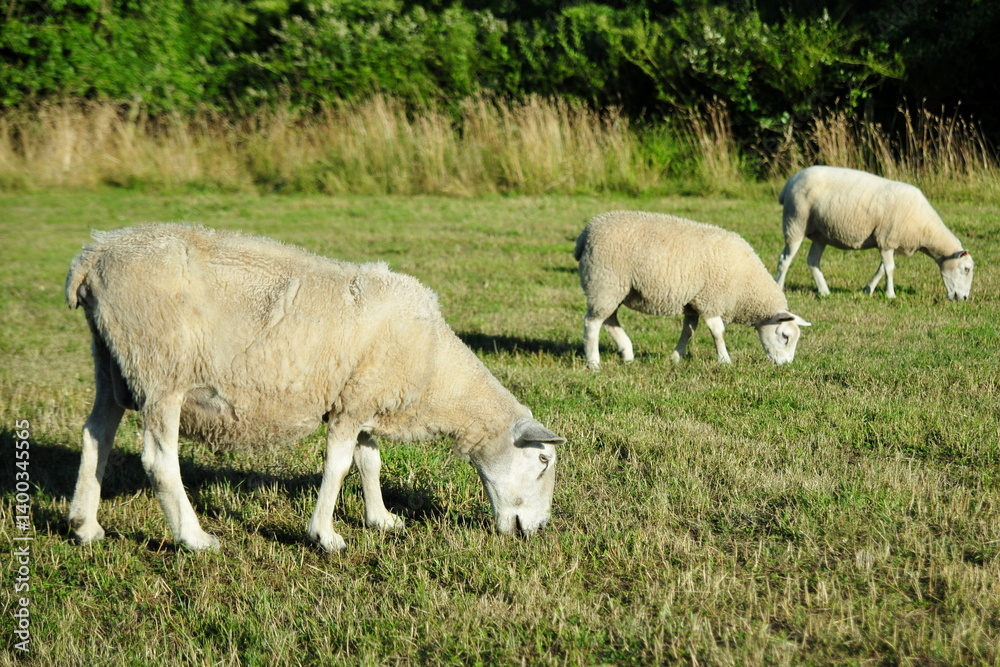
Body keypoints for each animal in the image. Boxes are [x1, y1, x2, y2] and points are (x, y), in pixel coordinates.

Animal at [65, 224, 564, 553]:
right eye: (543, 461)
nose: (539, 528)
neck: (435, 373)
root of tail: (94, 253)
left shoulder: (362, 400)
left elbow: (370, 463)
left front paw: (381, 519)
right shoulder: (350, 406)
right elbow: (340, 468)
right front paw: (325, 536)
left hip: (111, 363)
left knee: (96, 434)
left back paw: (85, 525)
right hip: (160, 368)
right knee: (158, 459)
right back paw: (194, 538)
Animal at [575, 210, 811, 368]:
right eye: (785, 336)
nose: (786, 364)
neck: (746, 285)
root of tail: (587, 232)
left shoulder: (693, 303)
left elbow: (688, 331)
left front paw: (676, 357)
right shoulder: (710, 300)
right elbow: (718, 332)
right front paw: (724, 360)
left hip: (613, 290)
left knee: (609, 320)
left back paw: (627, 354)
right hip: (605, 283)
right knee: (592, 323)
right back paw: (594, 362)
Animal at [775, 165, 975, 300]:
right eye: (966, 269)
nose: (964, 298)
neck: (925, 230)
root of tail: (790, 181)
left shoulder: (889, 242)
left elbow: (881, 269)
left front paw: (868, 290)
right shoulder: (886, 240)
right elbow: (890, 269)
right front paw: (890, 294)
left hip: (820, 233)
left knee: (813, 260)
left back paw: (824, 291)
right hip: (795, 222)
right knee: (785, 259)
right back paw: (779, 286)